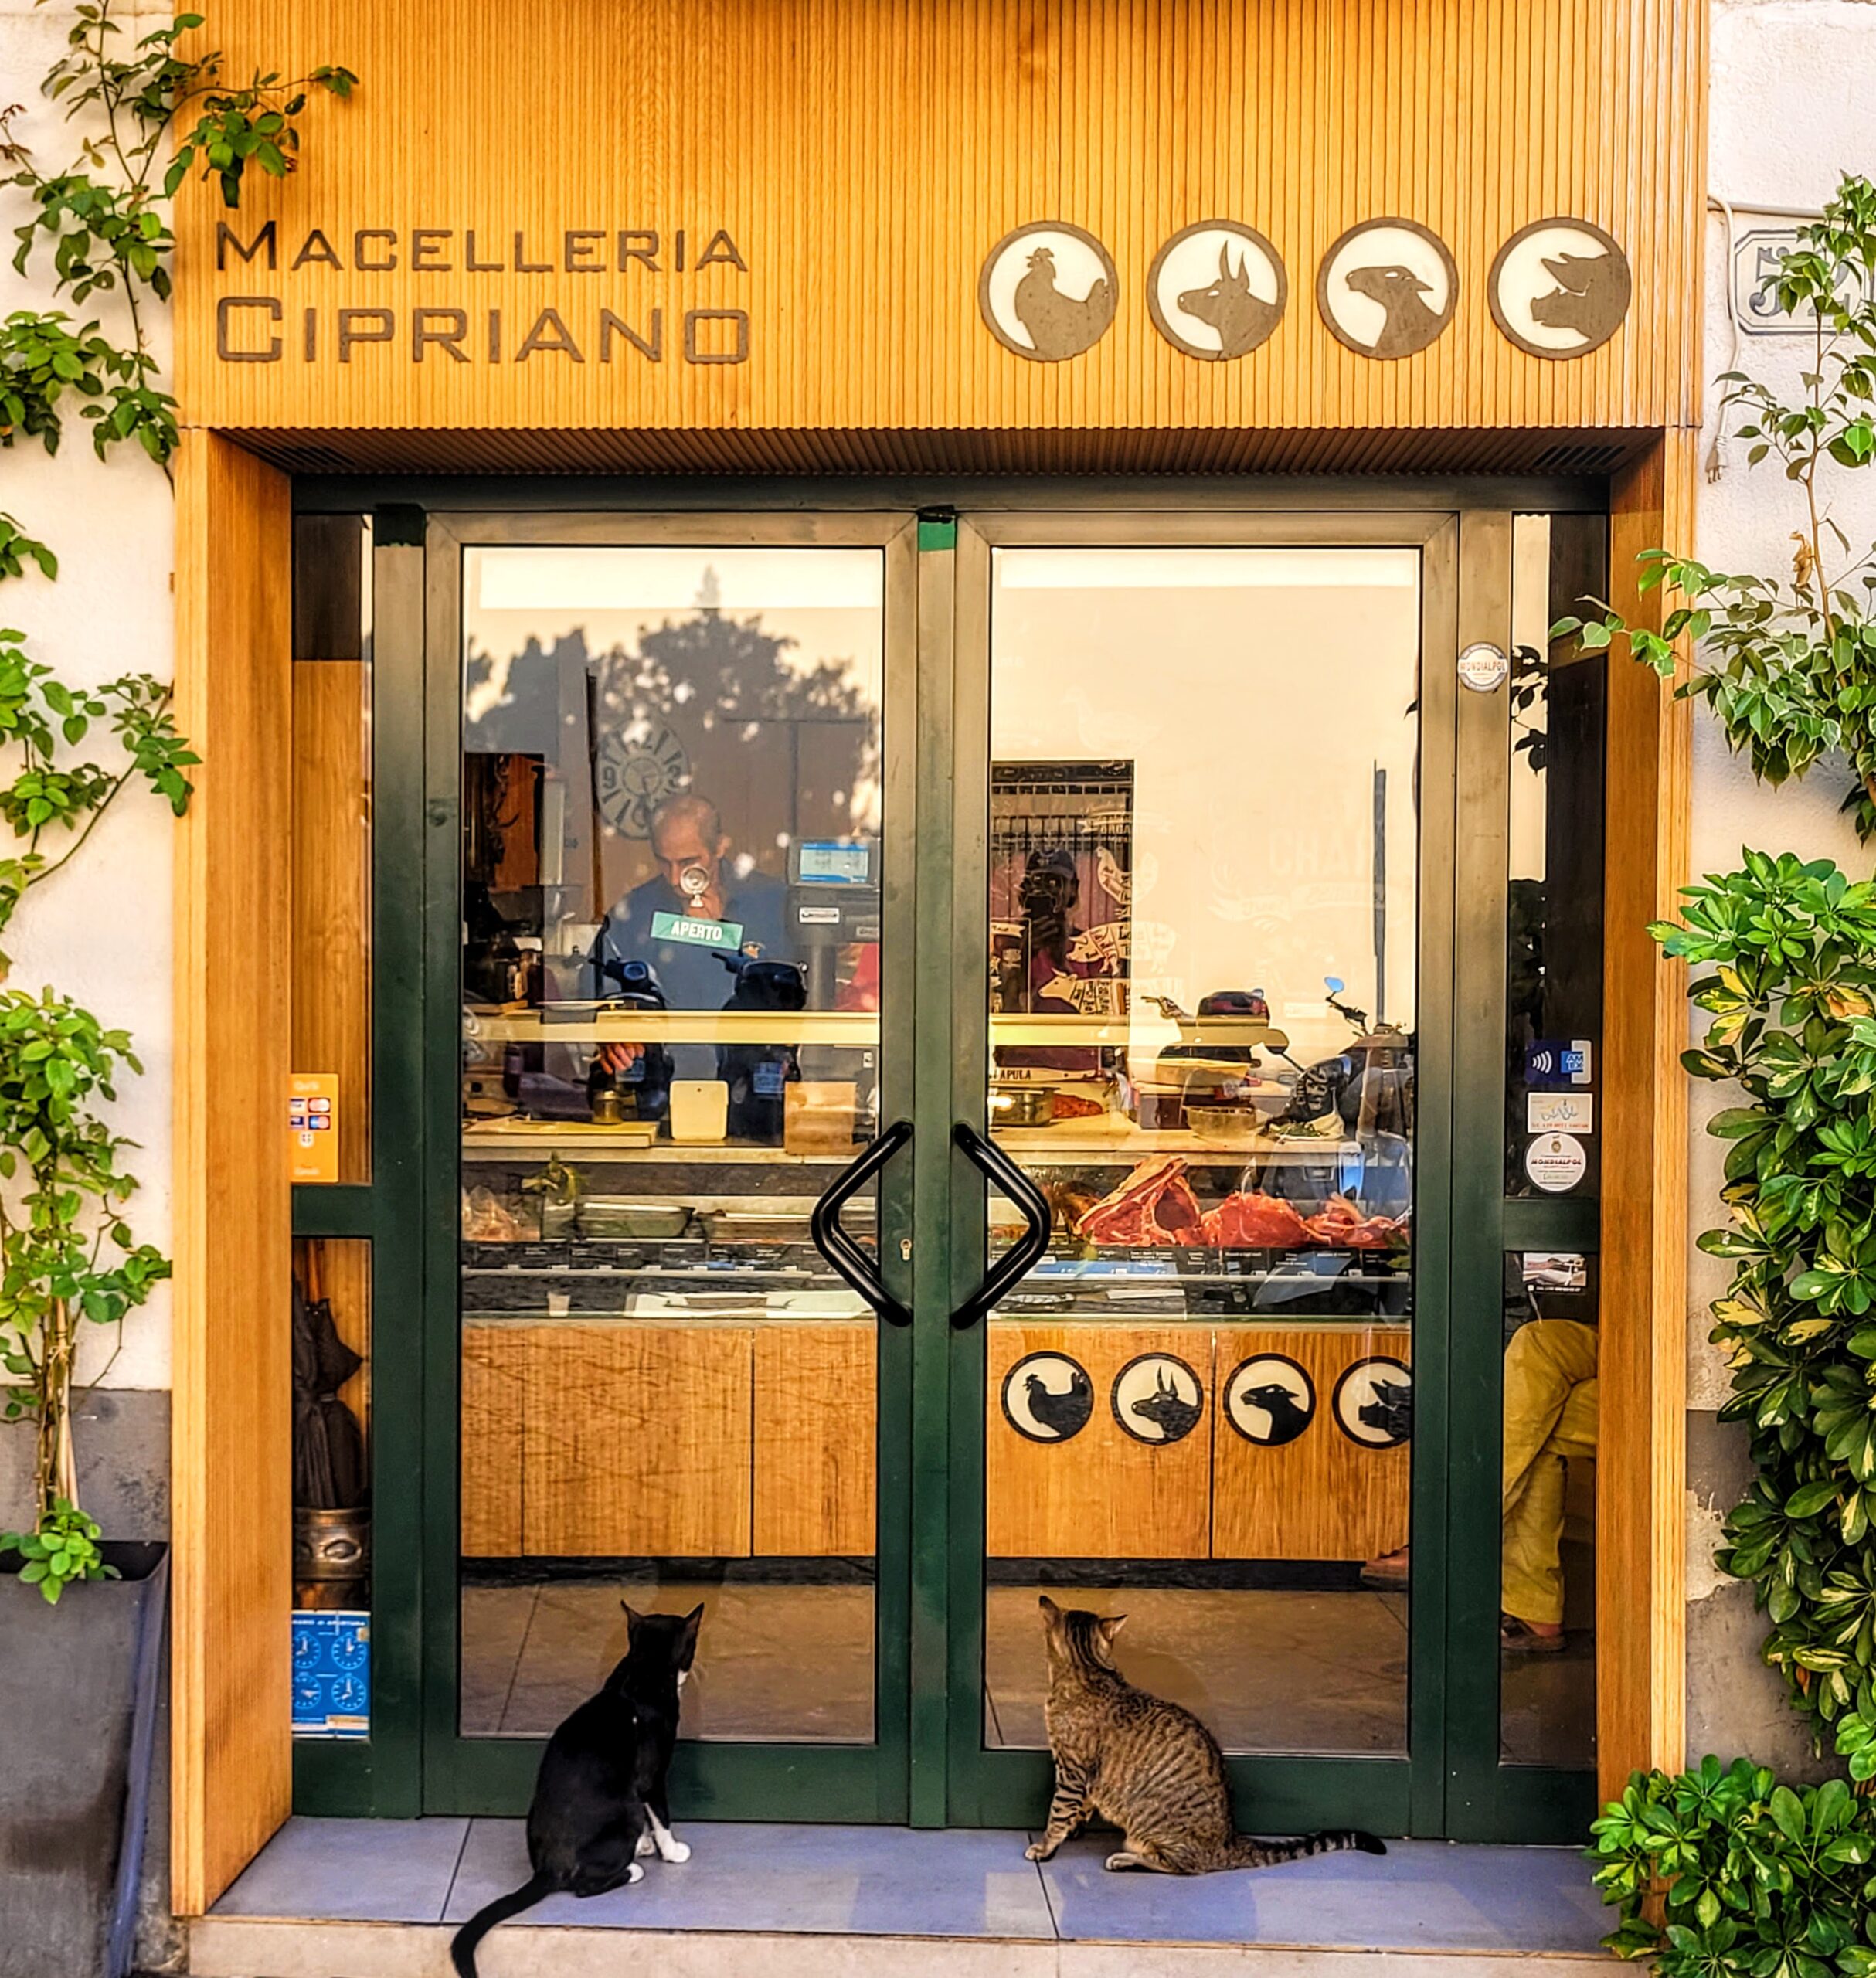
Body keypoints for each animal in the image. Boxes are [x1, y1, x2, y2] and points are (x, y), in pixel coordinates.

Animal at [447, 1606, 704, 1978]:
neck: (640, 1673)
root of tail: (548, 1868)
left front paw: (644, 1845)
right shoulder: (650, 1777)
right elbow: (660, 1816)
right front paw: (670, 1851)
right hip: (624, 1811)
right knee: (584, 1887)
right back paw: (631, 1870)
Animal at [1021, 1590, 1385, 1867]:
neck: (1090, 1672)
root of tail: (1230, 1840)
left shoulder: (1071, 1770)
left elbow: (1058, 1811)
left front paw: (1046, 1846)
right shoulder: (1082, 1776)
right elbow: (1079, 1808)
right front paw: (1075, 1828)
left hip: (1150, 1827)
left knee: (1184, 1866)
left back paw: (1125, 1859)